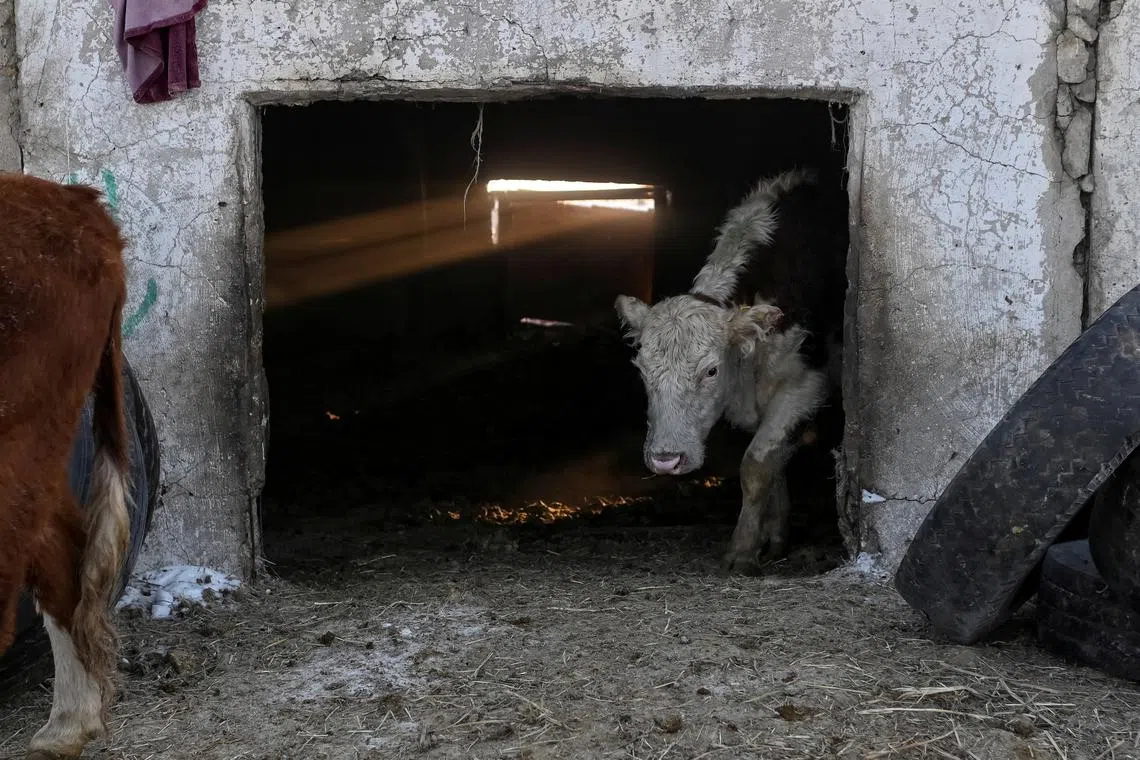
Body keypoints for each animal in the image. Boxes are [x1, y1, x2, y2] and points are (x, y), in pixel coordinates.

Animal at [615, 168, 847, 574]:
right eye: (643, 371)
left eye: (710, 371)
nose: (665, 459)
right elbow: (773, 465)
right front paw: (774, 539)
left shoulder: (804, 386)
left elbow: (756, 466)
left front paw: (742, 550)